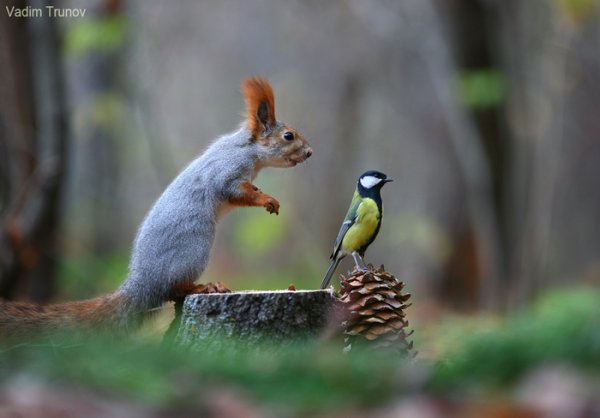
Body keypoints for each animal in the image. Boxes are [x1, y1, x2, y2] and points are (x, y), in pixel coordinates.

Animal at [1, 77, 314, 340]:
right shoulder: (226, 173)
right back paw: (204, 287)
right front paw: (267, 199)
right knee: (173, 289)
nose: (310, 152)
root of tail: (141, 285)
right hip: (195, 247)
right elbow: (235, 191)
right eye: (288, 136)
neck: (249, 149)